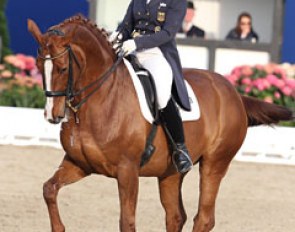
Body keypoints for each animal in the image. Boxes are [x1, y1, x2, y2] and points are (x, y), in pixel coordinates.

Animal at [27, 14, 294, 232]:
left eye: (63, 68)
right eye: (39, 66)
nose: (52, 114)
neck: (101, 98)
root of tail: (233, 92)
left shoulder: (127, 171)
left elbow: (127, 222)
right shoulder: (79, 163)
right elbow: (49, 189)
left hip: (214, 164)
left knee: (204, 218)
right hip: (171, 172)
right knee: (176, 217)